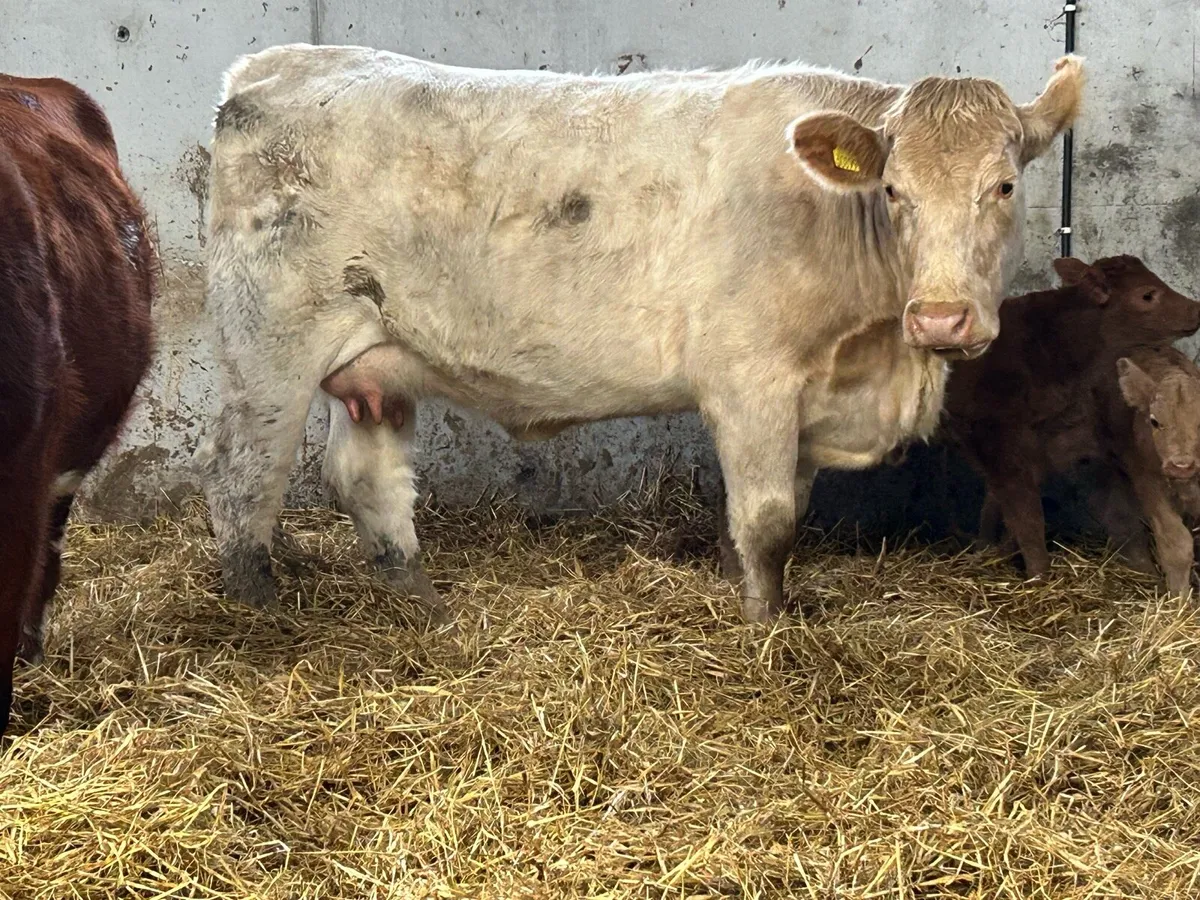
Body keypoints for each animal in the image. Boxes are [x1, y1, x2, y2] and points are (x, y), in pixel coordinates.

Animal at [196, 44, 1082, 627]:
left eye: (1004, 185)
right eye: (893, 190)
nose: (940, 317)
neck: (878, 360)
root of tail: (275, 66)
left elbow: (771, 516)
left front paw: (747, 597)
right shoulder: (751, 380)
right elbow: (768, 520)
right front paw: (767, 634)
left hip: (376, 360)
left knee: (366, 481)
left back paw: (426, 606)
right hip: (267, 347)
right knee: (242, 481)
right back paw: (261, 615)